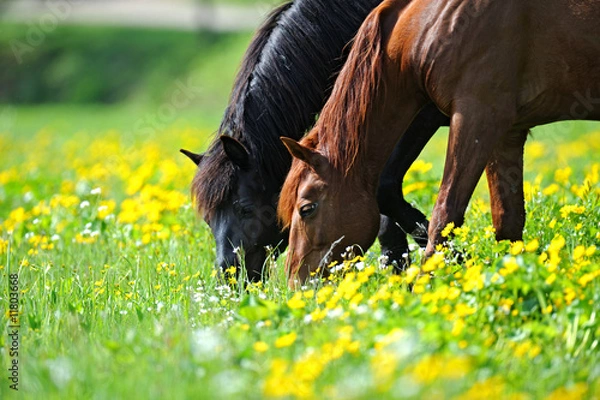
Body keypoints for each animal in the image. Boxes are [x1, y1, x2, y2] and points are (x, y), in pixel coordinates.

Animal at [180, 0, 448, 282]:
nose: (230, 278)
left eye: (245, 209)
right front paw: (398, 267)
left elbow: (384, 187)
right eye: (208, 219)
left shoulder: (419, 115)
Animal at [278, 0, 600, 284]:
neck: (429, 23)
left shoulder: (477, 117)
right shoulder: (506, 133)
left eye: (307, 209)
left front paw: (426, 284)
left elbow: (444, 214)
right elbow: (507, 222)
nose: (296, 284)